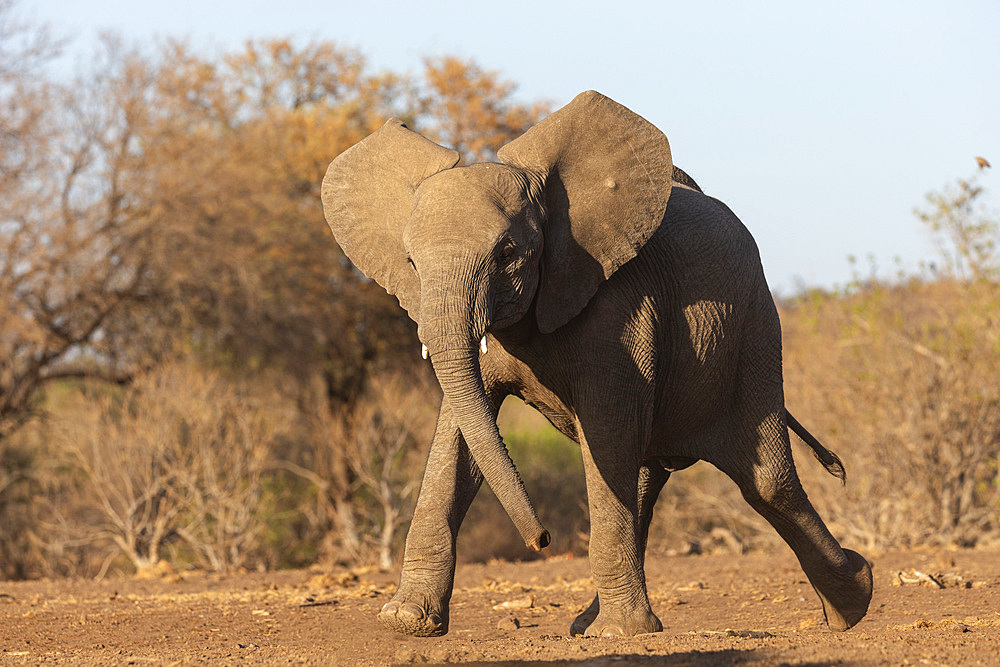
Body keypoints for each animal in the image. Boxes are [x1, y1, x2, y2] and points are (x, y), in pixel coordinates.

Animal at [318, 91, 868, 640]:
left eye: (509, 252)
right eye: (411, 262)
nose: (541, 539)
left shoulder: (621, 305)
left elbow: (605, 429)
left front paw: (620, 635)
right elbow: (458, 437)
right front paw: (407, 621)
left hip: (753, 327)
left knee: (766, 482)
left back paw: (854, 601)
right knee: (649, 477)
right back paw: (591, 623)